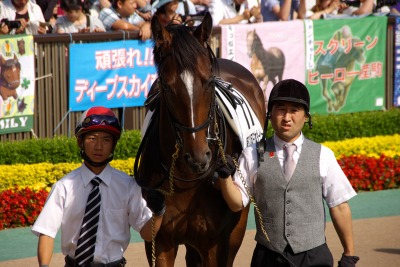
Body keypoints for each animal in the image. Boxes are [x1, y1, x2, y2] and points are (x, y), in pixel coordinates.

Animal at [134, 13, 266, 267]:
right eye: (166, 86)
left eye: (209, 81)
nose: (198, 158)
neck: (187, 180)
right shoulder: (159, 240)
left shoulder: (215, 243)